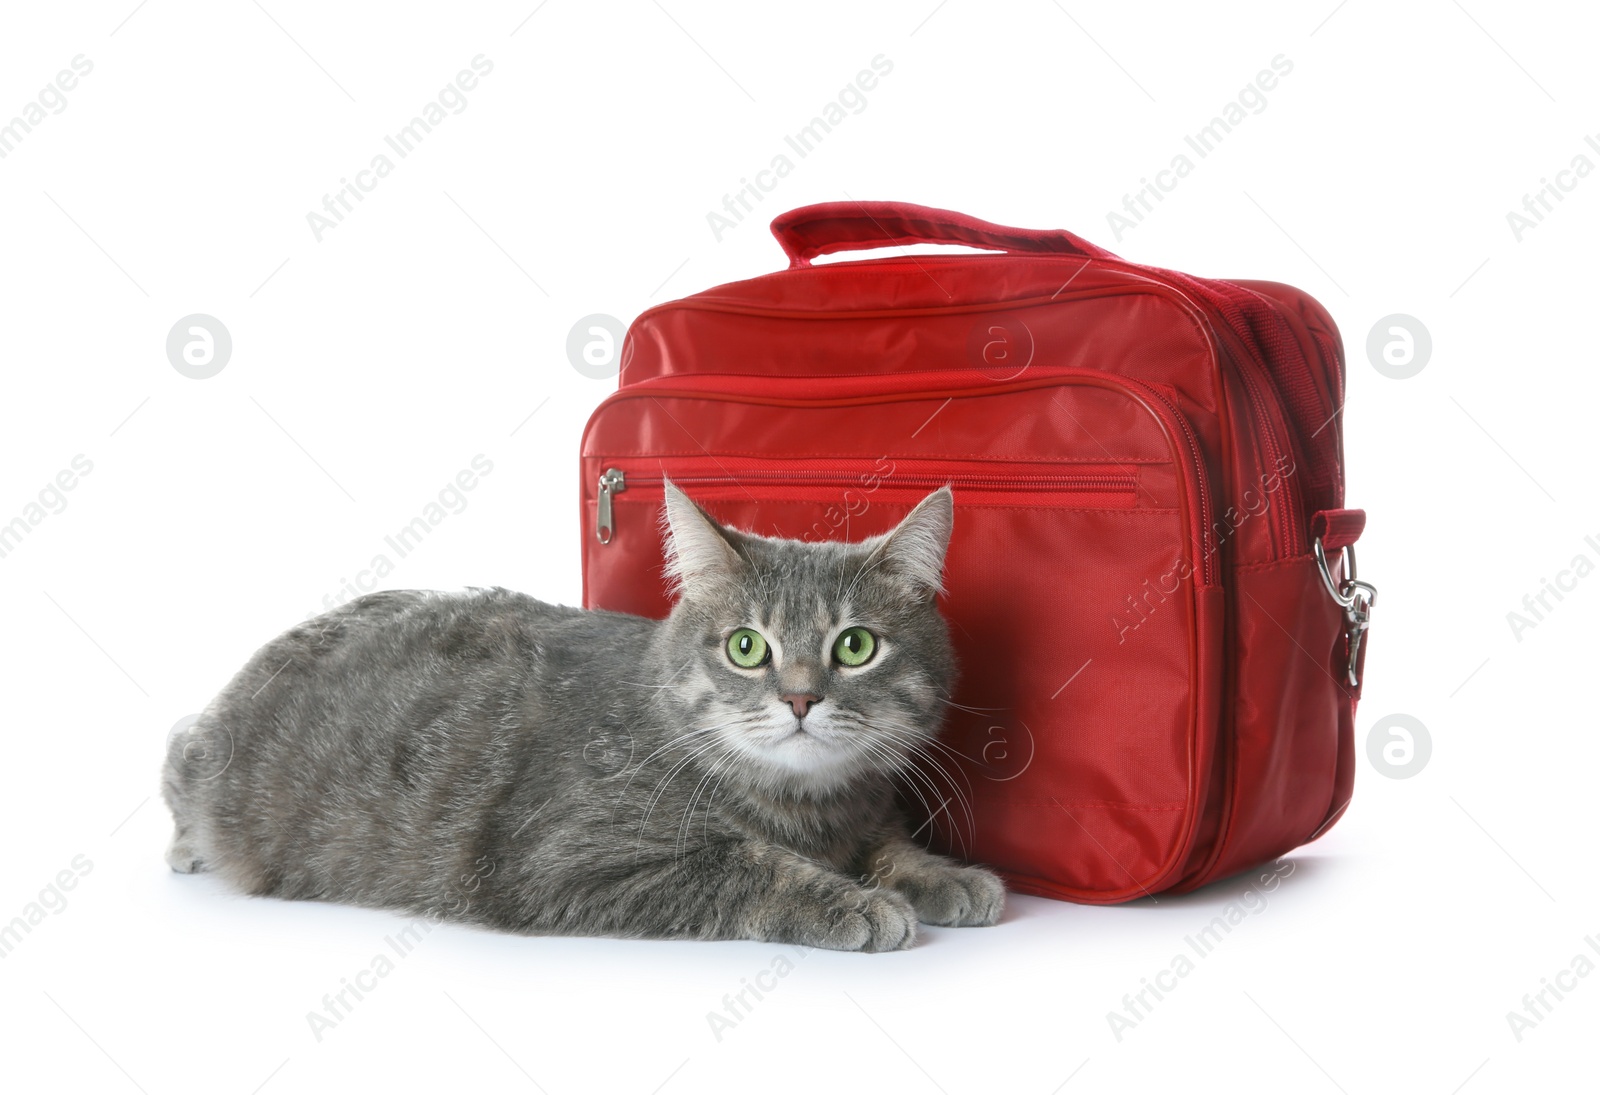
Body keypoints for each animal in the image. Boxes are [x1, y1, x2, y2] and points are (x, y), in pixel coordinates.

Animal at [162, 480, 998, 947]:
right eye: (746, 645)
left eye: (855, 645)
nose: (799, 697)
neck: (806, 808)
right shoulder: (569, 859)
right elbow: (742, 865)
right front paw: (853, 901)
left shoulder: (864, 812)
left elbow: (889, 844)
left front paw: (942, 874)